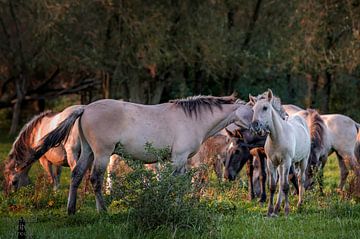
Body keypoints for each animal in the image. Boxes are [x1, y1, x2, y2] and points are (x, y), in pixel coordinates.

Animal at [22, 94, 253, 214]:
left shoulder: (174, 161)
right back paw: (103, 211)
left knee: (76, 175)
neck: (192, 119)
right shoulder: (179, 159)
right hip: (102, 154)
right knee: (95, 179)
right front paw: (175, 206)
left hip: (87, 152)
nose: (258, 129)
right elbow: (176, 183)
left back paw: (71, 210)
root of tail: (85, 108)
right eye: (253, 111)